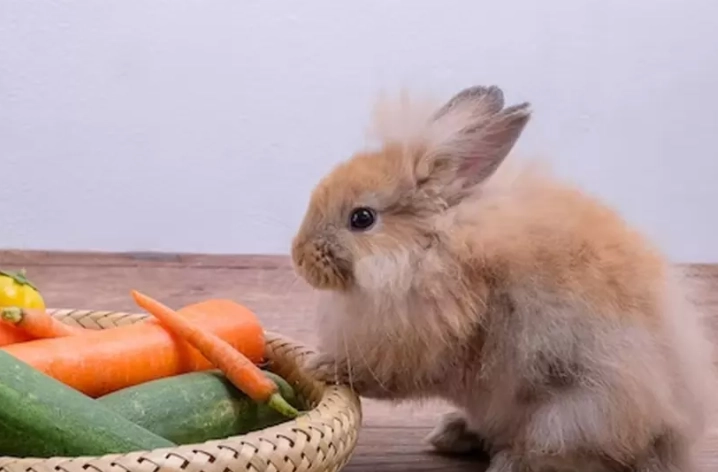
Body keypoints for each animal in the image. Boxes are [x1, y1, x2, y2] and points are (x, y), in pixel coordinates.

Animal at [290, 84, 717, 472]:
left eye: (361, 218)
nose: (297, 257)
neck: (429, 248)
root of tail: (669, 439)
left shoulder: (416, 349)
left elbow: (376, 376)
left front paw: (321, 365)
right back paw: (450, 433)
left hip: (570, 417)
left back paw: (507, 460)